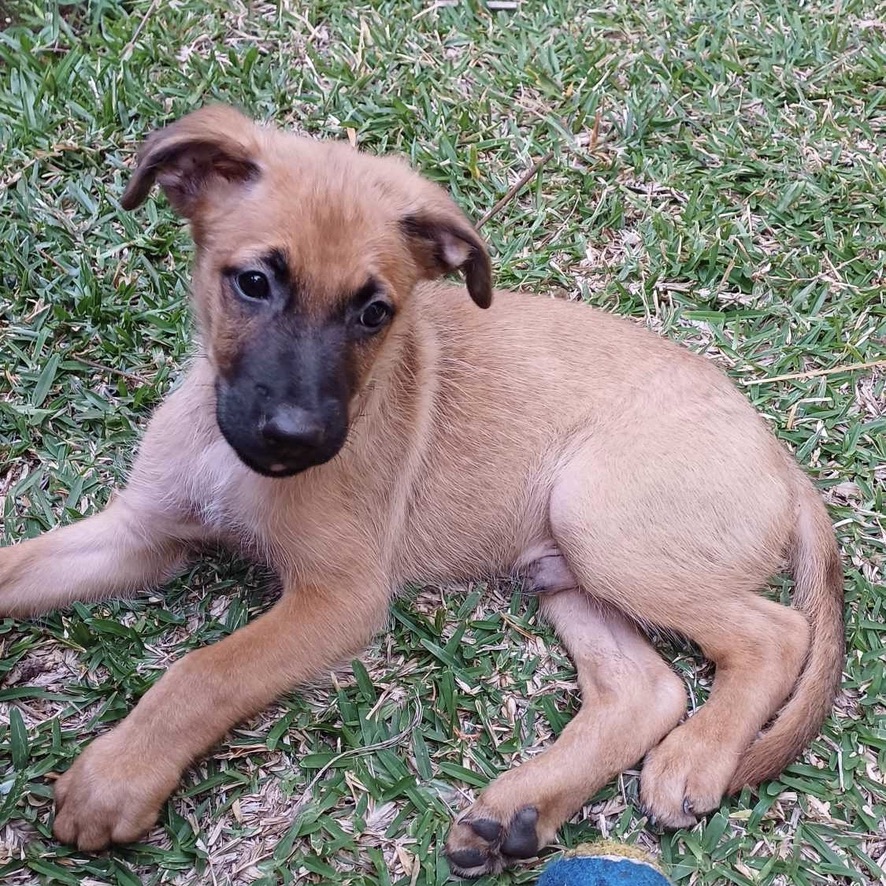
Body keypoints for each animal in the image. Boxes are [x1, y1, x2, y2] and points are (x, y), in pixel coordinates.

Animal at [0, 106, 848, 880]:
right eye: (253, 283)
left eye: (375, 312)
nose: (297, 437)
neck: (226, 457)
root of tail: (777, 452)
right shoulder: (141, 532)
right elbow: (17, 569)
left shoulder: (341, 598)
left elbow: (206, 671)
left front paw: (117, 777)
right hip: (562, 566)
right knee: (647, 689)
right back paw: (517, 811)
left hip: (600, 522)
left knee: (774, 632)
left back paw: (696, 756)